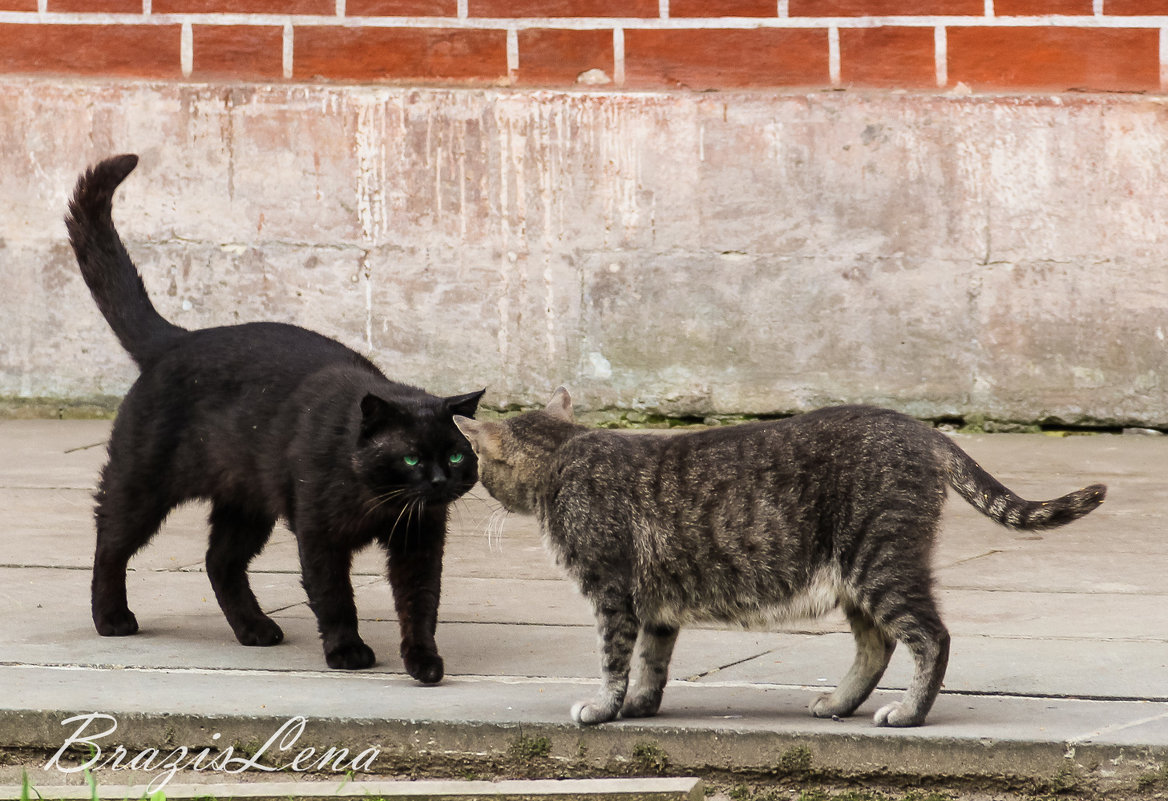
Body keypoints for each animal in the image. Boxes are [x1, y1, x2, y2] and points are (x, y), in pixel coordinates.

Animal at [65, 154, 483, 681]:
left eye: (455, 456)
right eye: (410, 459)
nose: (438, 481)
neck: (378, 501)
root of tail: (177, 339)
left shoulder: (419, 541)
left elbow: (420, 605)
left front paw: (424, 662)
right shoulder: (319, 537)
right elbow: (335, 598)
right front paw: (347, 652)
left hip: (246, 504)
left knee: (219, 561)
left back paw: (255, 629)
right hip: (141, 485)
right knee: (110, 544)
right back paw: (112, 619)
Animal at [450, 392, 1107, 733]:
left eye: (475, 462)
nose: (471, 483)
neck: (565, 455)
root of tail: (922, 429)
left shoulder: (612, 594)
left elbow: (613, 660)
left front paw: (605, 708)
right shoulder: (655, 608)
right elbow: (651, 664)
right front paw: (639, 706)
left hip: (879, 561)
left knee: (930, 637)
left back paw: (907, 712)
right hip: (856, 577)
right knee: (877, 646)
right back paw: (838, 704)